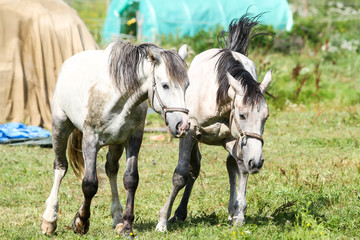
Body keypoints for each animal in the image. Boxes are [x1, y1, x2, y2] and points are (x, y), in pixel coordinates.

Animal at [40, 40, 190, 234]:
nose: (183, 125)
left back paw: (117, 217)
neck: (118, 96)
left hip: (116, 144)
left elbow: (131, 179)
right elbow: (89, 184)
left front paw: (126, 225)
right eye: (165, 85)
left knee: (111, 169)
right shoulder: (90, 140)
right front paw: (81, 221)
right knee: (60, 167)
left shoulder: (133, 139)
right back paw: (49, 219)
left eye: (187, 85)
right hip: (60, 127)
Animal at [156, 14, 272, 231]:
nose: (257, 161)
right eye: (242, 115)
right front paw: (162, 221)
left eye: (265, 117)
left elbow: (242, 168)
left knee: (232, 165)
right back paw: (180, 213)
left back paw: (232, 211)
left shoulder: (238, 140)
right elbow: (180, 174)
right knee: (194, 168)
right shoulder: (189, 132)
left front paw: (240, 215)